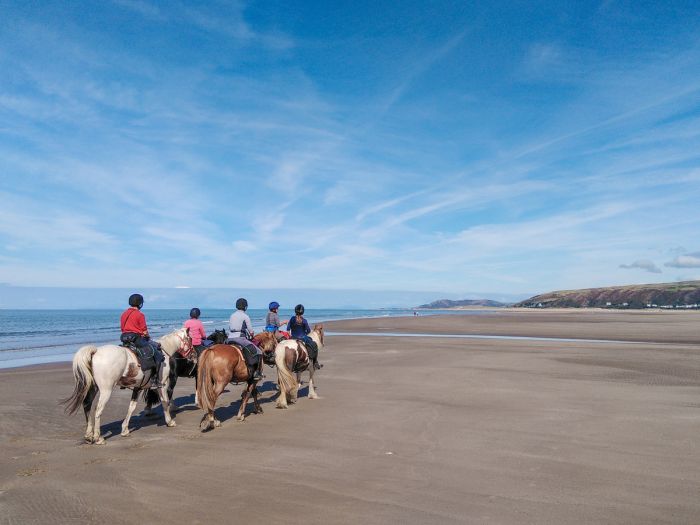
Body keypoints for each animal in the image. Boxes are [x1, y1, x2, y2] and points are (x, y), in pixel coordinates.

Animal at [61, 330, 193, 444]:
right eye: (190, 339)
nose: (193, 355)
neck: (164, 351)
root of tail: (96, 352)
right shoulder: (162, 384)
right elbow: (165, 401)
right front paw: (169, 421)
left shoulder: (138, 387)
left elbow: (131, 407)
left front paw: (125, 429)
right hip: (106, 390)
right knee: (98, 410)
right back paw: (98, 438)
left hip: (94, 388)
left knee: (87, 405)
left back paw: (89, 435)